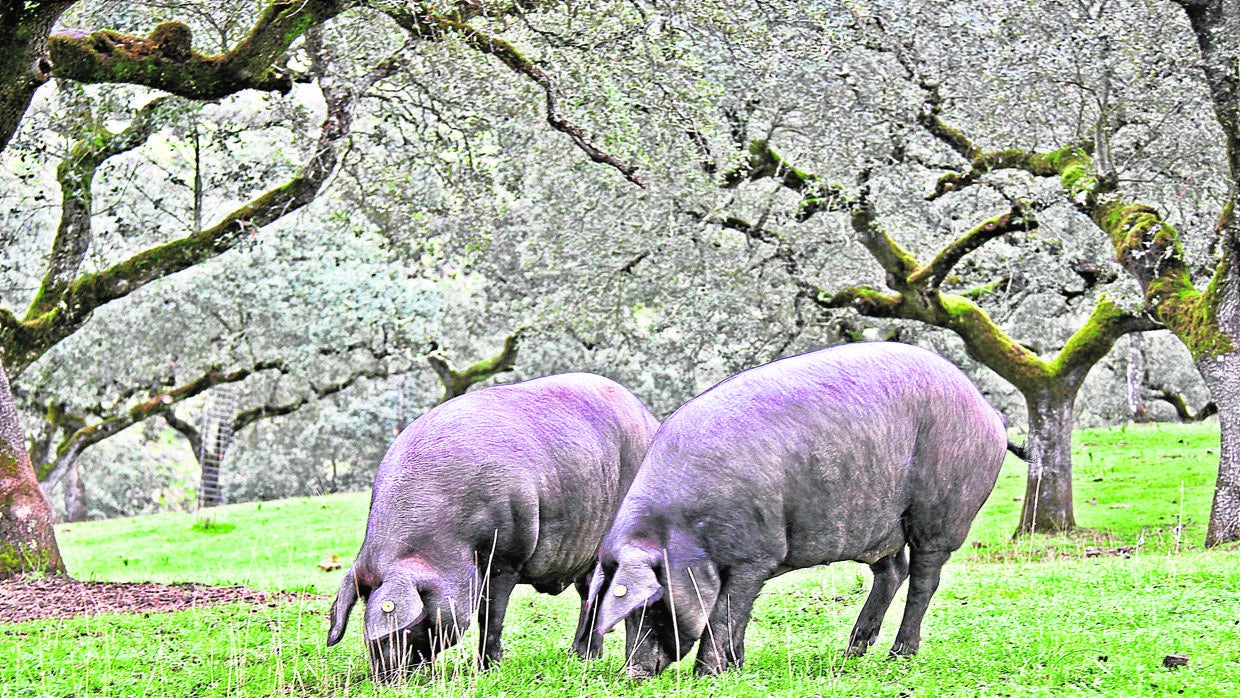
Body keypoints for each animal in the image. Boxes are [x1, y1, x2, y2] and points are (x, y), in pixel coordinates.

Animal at [327, 374, 659, 679]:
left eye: (406, 626)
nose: (383, 678)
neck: (445, 543)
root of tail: (650, 420)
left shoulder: (505, 557)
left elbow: (491, 616)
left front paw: (487, 669)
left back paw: (582, 656)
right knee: (589, 591)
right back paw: (581, 656)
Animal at [587, 342, 1006, 679]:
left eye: (652, 603)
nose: (633, 673)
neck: (682, 532)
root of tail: (989, 411)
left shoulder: (753, 555)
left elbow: (725, 612)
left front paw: (709, 674)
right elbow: (736, 615)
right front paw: (735, 667)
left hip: (942, 511)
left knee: (924, 578)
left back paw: (898, 656)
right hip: (879, 526)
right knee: (892, 572)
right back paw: (852, 652)